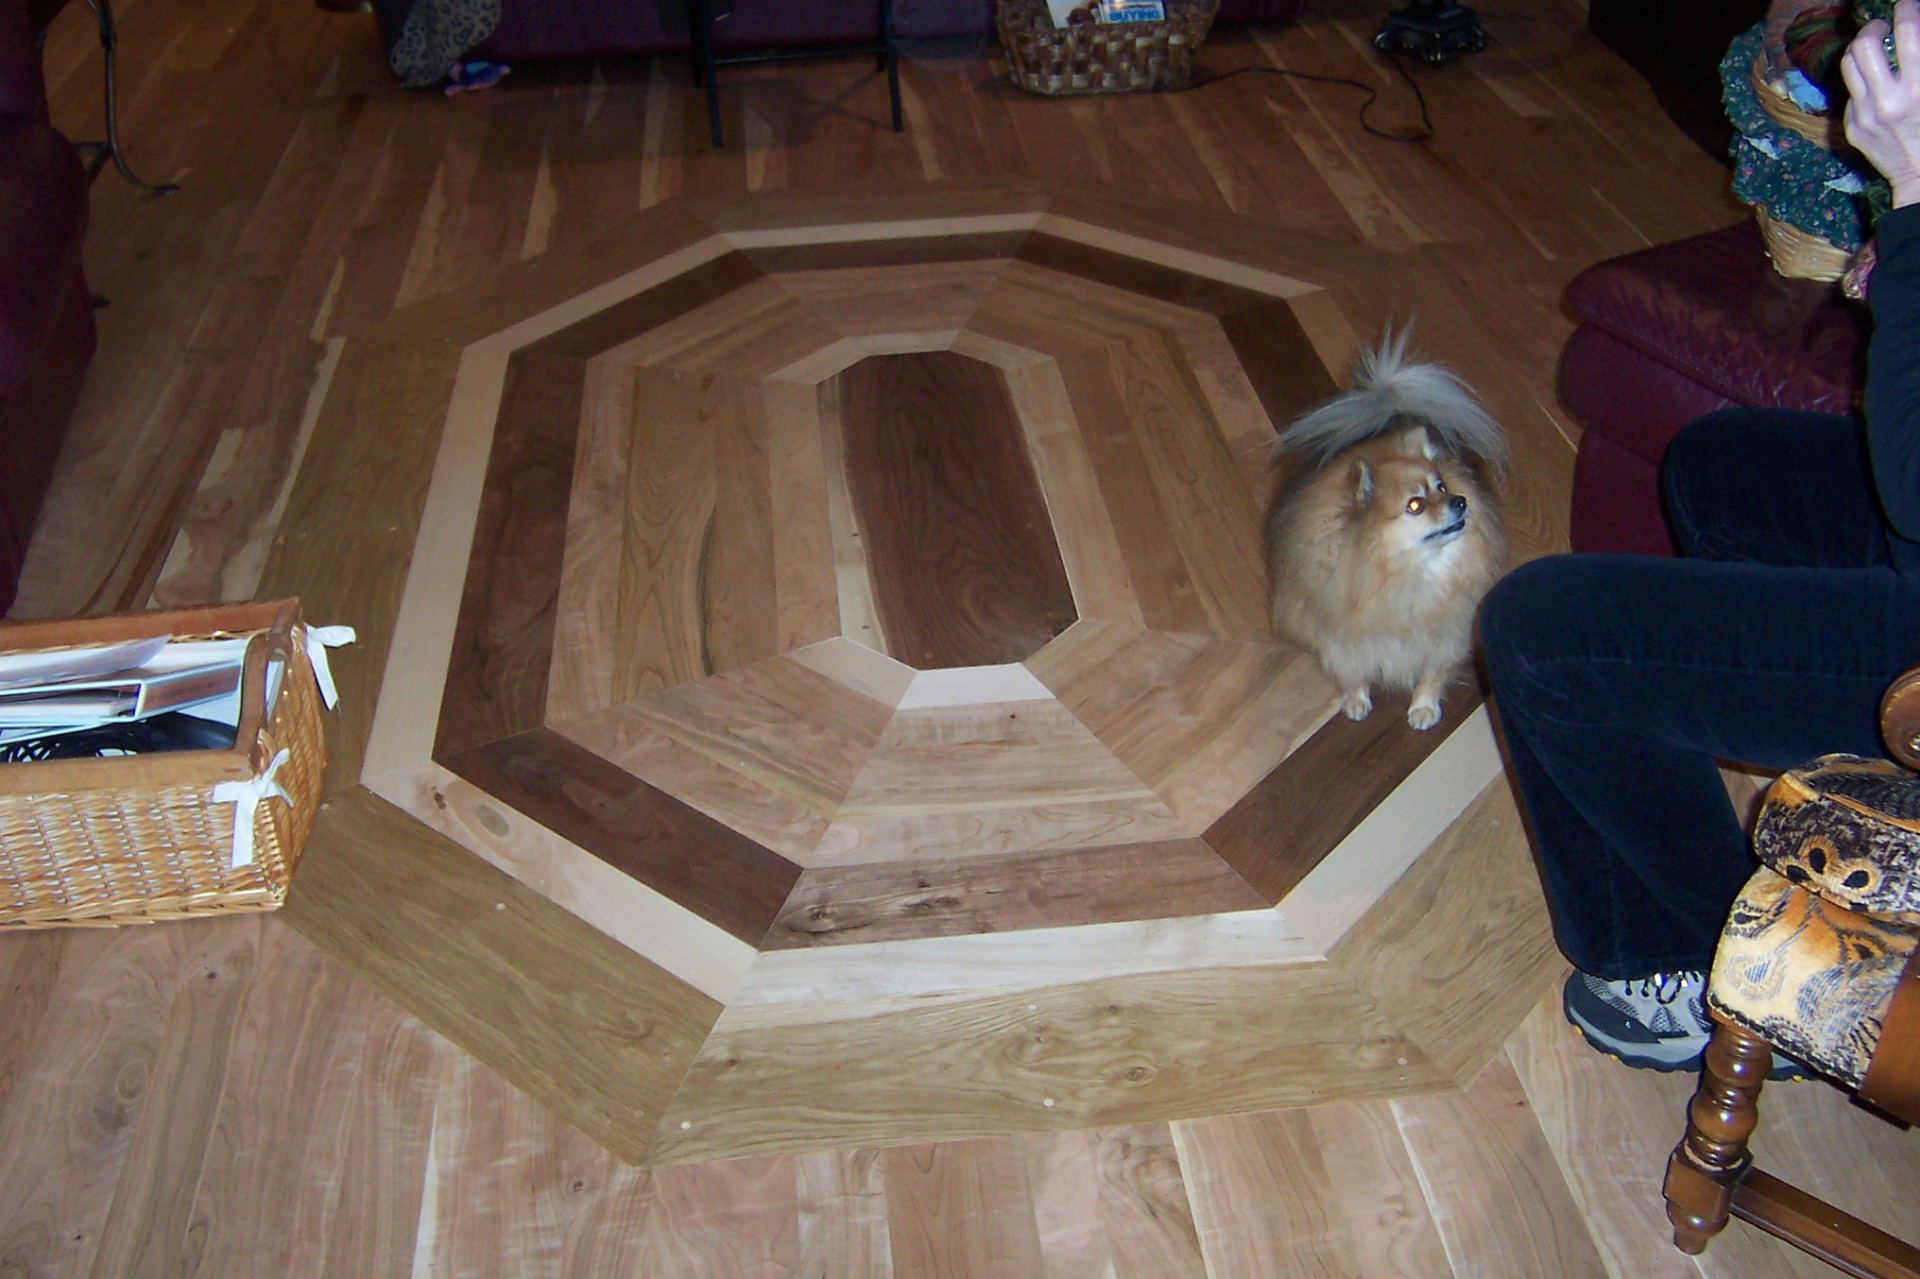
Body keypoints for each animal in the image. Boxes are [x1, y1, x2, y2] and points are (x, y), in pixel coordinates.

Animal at [1267, 328, 1505, 725]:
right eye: (1415, 505)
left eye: (1442, 487)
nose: (1460, 502)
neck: (1407, 576)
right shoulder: (1343, 638)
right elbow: (1351, 671)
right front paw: (1356, 700)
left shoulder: (1445, 633)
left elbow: (1432, 673)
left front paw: (1423, 707)